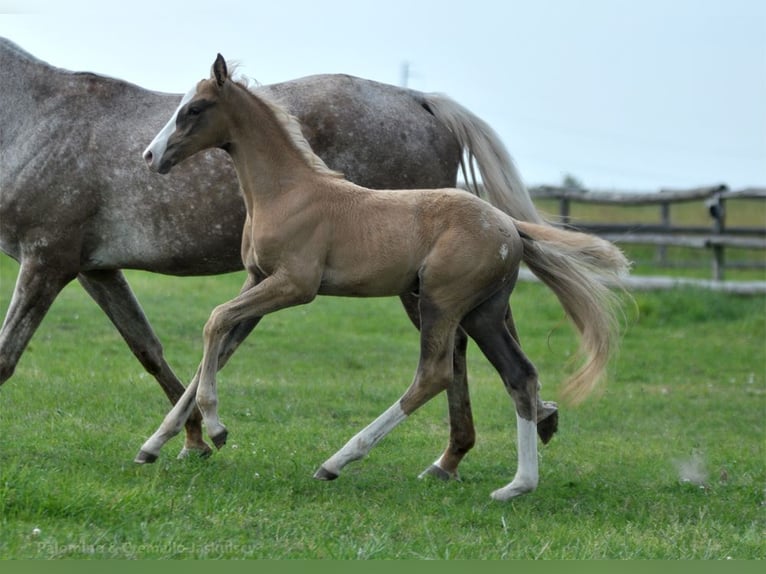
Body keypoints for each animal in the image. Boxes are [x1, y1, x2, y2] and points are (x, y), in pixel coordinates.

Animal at [136, 54, 628, 500]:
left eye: (195, 108)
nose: (150, 155)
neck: (288, 192)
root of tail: (509, 226)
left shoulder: (296, 285)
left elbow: (215, 321)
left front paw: (216, 429)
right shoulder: (256, 279)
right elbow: (216, 341)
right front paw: (154, 445)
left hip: (441, 302)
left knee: (434, 374)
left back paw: (337, 461)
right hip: (483, 313)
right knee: (519, 375)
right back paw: (517, 485)